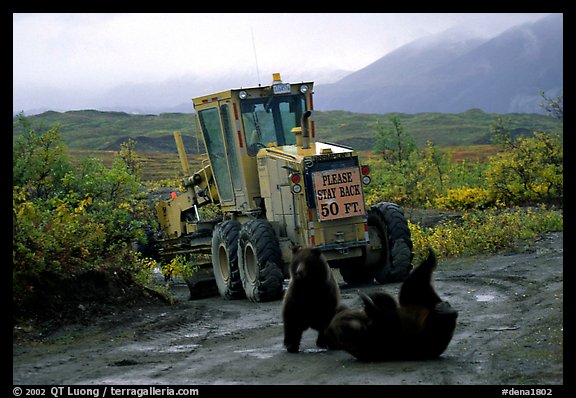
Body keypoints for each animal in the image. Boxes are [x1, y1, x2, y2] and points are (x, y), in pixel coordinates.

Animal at [326, 246, 456, 360]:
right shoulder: (381, 337)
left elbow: (385, 300)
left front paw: (369, 296)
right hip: (425, 328)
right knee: (415, 286)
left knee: (416, 285)